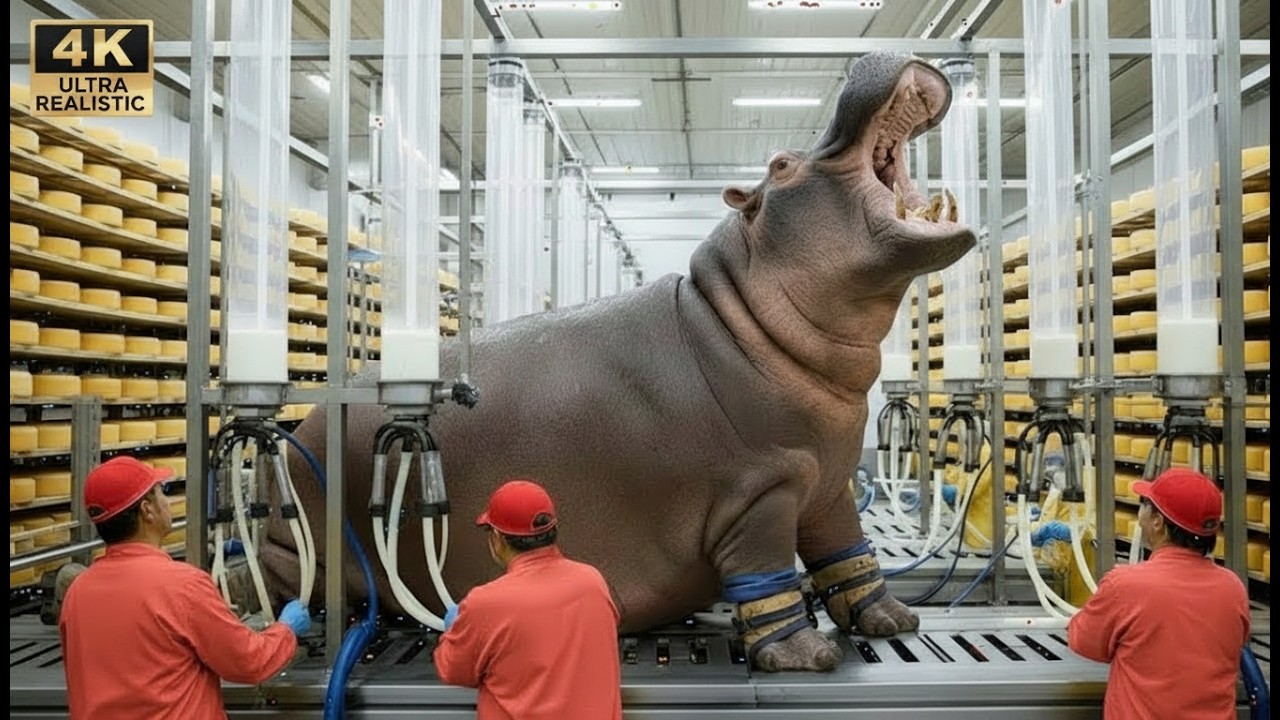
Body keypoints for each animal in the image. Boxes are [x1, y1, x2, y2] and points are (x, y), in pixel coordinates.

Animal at [256, 50, 975, 673]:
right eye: (780, 165)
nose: (867, 60)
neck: (744, 323)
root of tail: (302, 430)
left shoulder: (826, 487)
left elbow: (849, 557)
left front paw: (891, 620)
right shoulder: (761, 495)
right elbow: (768, 573)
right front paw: (805, 655)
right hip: (302, 541)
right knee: (275, 572)